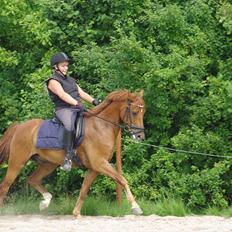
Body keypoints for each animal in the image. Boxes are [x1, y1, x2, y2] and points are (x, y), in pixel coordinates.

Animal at [0, 89, 145, 218]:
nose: (140, 137)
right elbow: (122, 179)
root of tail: (20, 127)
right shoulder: (100, 164)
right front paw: (136, 207)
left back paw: (45, 202)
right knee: (5, 186)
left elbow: (84, 190)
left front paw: (76, 213)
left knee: (32, 179)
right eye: (134, 112)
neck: (101, 126)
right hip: (17, 162)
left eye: (143, 112)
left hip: (48, 164)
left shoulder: (94, 168)